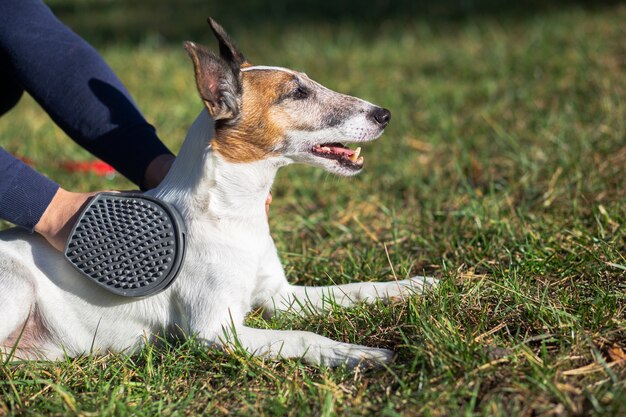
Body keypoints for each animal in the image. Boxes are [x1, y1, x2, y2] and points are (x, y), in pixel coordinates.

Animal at [0, 18, 434, 368]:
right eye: (296, 93)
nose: (384, 114)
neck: (231, 213)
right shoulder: (217, 331)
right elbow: (303, 336)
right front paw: (355, 353)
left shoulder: (281, 295)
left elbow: (357, 289)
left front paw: (413, 286)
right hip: (17, 286)